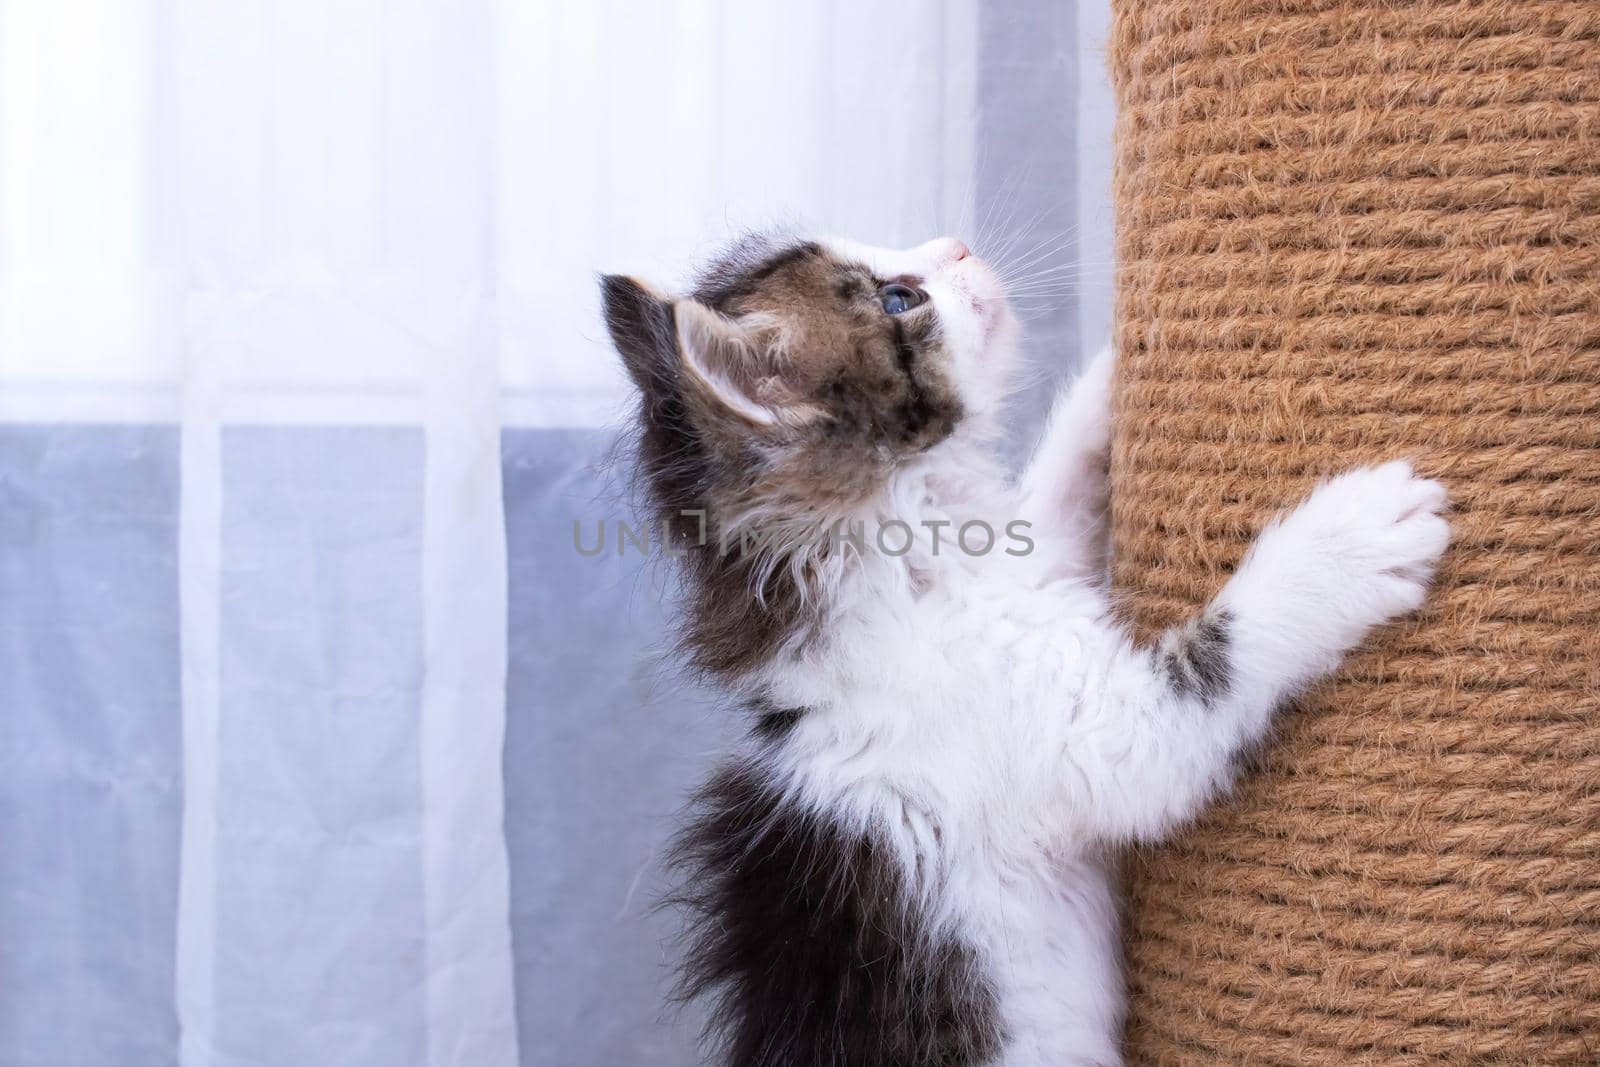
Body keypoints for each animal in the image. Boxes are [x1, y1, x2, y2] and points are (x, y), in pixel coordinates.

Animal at [598, 235, 1452, 1067]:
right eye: (897, 297)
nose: (960, 245)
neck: (920, 564)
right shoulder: (1103, 733)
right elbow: (1219, 652)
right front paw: (1351, 536)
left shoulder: (1035, 562)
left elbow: (1052, 490)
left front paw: (1110, 373)